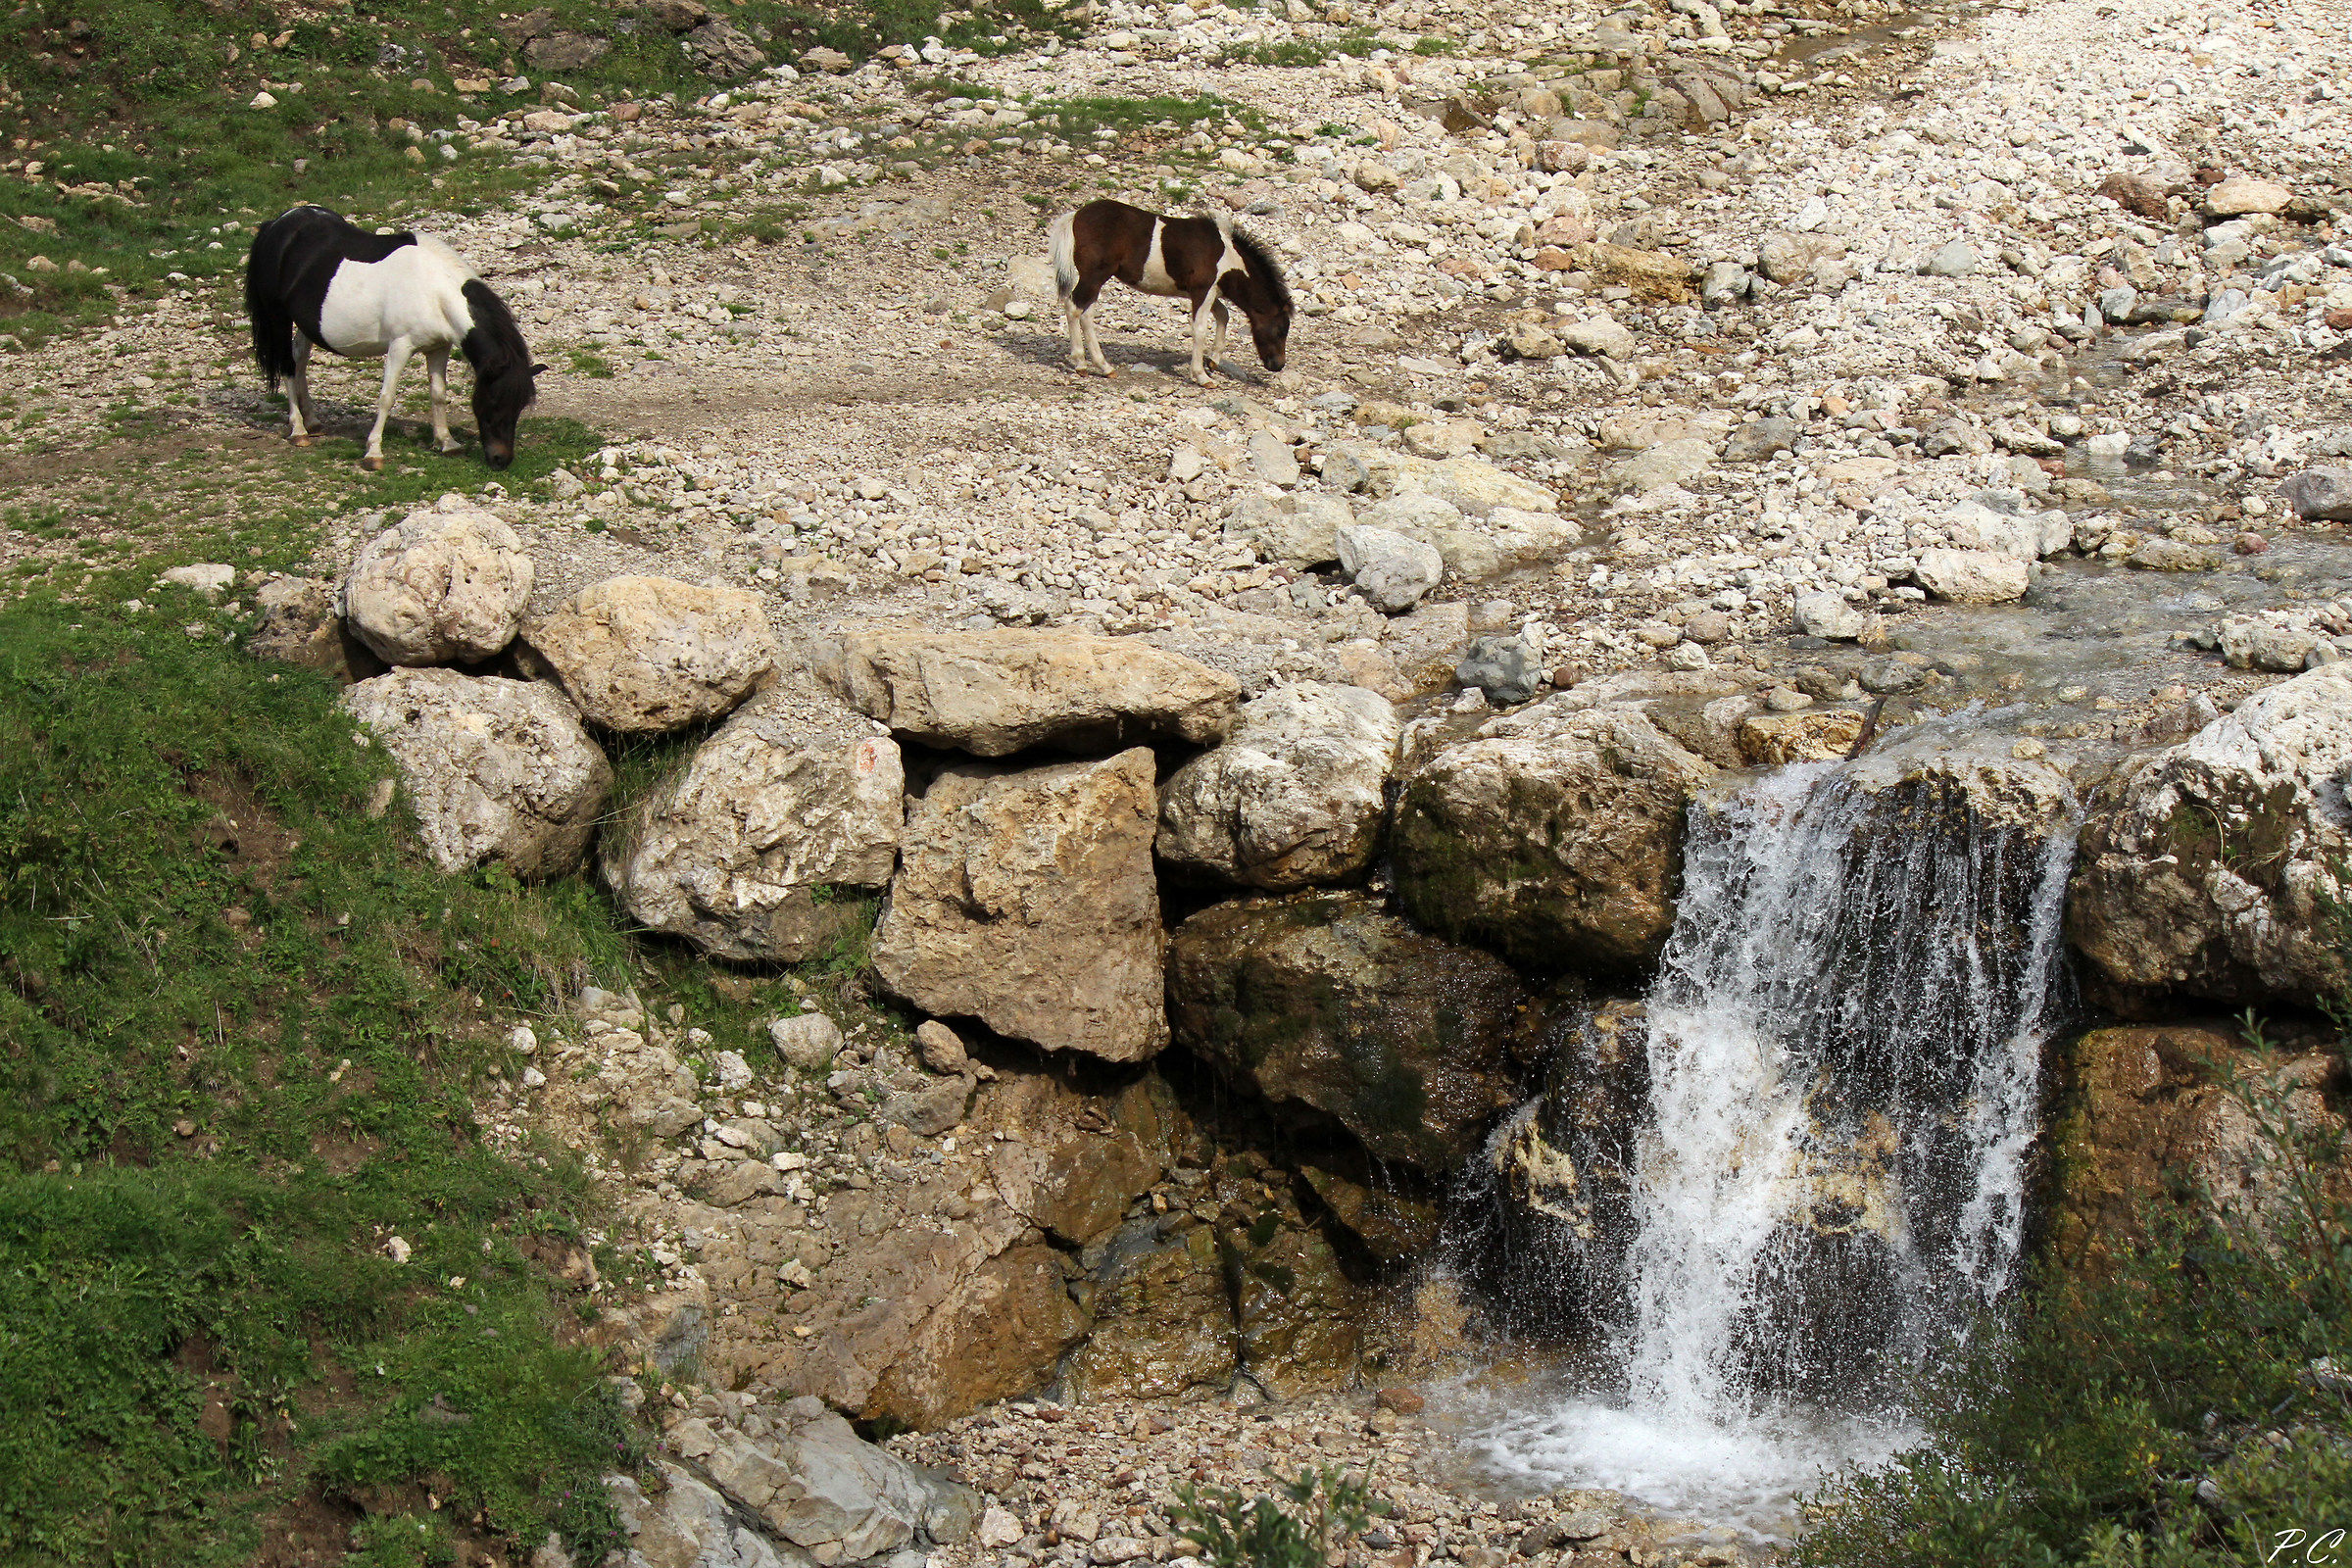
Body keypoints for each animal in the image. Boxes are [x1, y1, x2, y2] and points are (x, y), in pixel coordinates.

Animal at [243, 204, 542, 471]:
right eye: (494, 401)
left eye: (520, 406)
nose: (501, 460)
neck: (433, 289)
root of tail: (278, 224)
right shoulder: (399, 346)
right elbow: (386, 397)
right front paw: (373, 452)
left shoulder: (439, 347)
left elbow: (438, 394)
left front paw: (446, 442)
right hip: (278, 318)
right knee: (287, 366)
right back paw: (298, 429)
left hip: (307, 325)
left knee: (299, 359)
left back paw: (313, 421)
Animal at [1046, 199, 1292, 386]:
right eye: (1281, 330)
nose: (1278, 365)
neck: (1227, 257)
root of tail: (1076, 216)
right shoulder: (1202, 291)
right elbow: (1200, 329)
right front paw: (1201, 376)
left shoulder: (1206, 292)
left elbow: (1223, 315)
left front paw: (1213, 360)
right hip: (1094, 276)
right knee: (1074, 307)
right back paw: (1081, 363)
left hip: (1096, 280)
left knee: (1086, 313)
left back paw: (1104, 366)